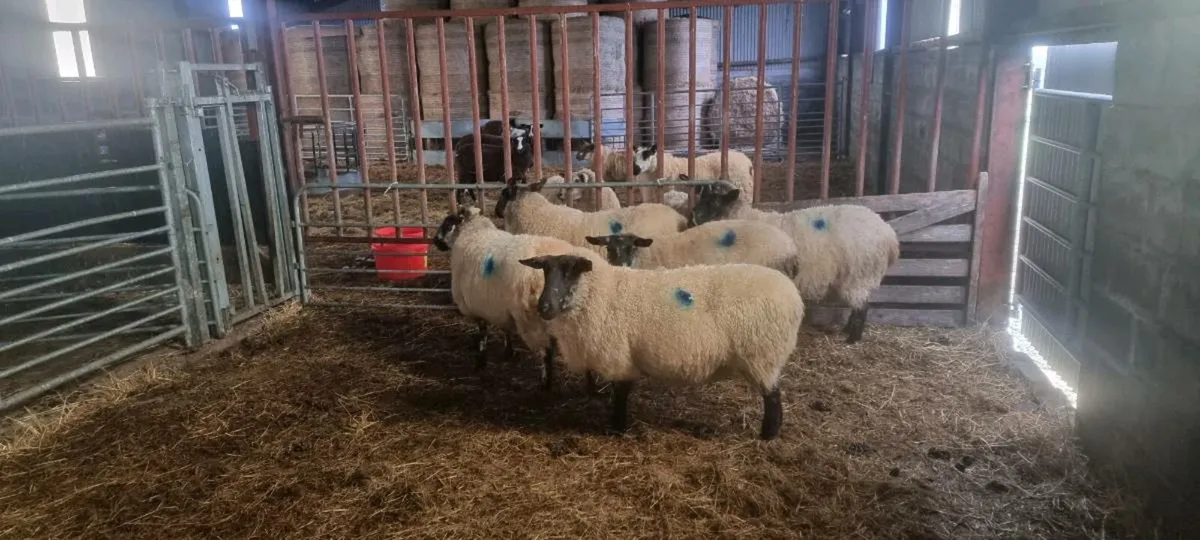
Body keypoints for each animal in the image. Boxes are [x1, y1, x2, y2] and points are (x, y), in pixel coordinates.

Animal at [431, 204, 575, 388]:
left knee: (546, 351)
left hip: (532, 319)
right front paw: (508, 352)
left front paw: (480, 363)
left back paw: (545, 384)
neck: (473, 232)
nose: (435, 241)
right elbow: (505, 329)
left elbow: (482, 336)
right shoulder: (498, 306)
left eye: (448, 225)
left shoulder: (475, 307)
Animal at [518, 249, 805, 440]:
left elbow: (621, 394)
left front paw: (617, 428)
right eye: (544, 270)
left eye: (569, 271)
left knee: (773, 398)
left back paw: (767, 436)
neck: (600, 293)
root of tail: (794, 296)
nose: (543, 307)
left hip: (763, 354)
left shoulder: (620, 357)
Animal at [691, 181, 900, 344]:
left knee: (862, 307)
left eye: (715, 201)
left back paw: (852, 339)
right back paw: (846, 331)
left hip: (859, 274)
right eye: (702, 196)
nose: (693, 218)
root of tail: (889, 235)